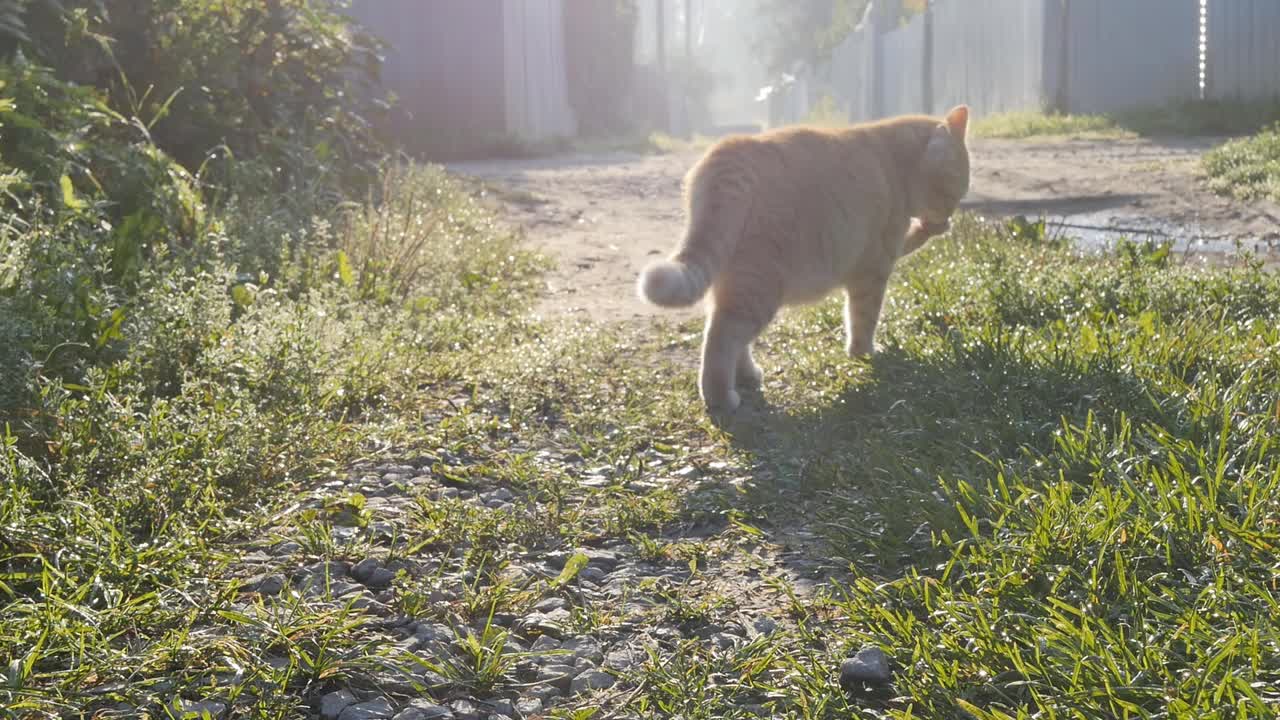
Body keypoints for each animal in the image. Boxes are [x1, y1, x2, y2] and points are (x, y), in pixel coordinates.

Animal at [640, 103, 967, 412]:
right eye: (954, 188)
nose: (951, 212)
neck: (894, 163)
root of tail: (731, 149)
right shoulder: (873, 269)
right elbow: (863, 320)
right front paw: (864, 355)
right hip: (757, 288)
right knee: (721, 338)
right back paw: (721, 397)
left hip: (733, 283)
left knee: (729, 334)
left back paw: (747, 376)